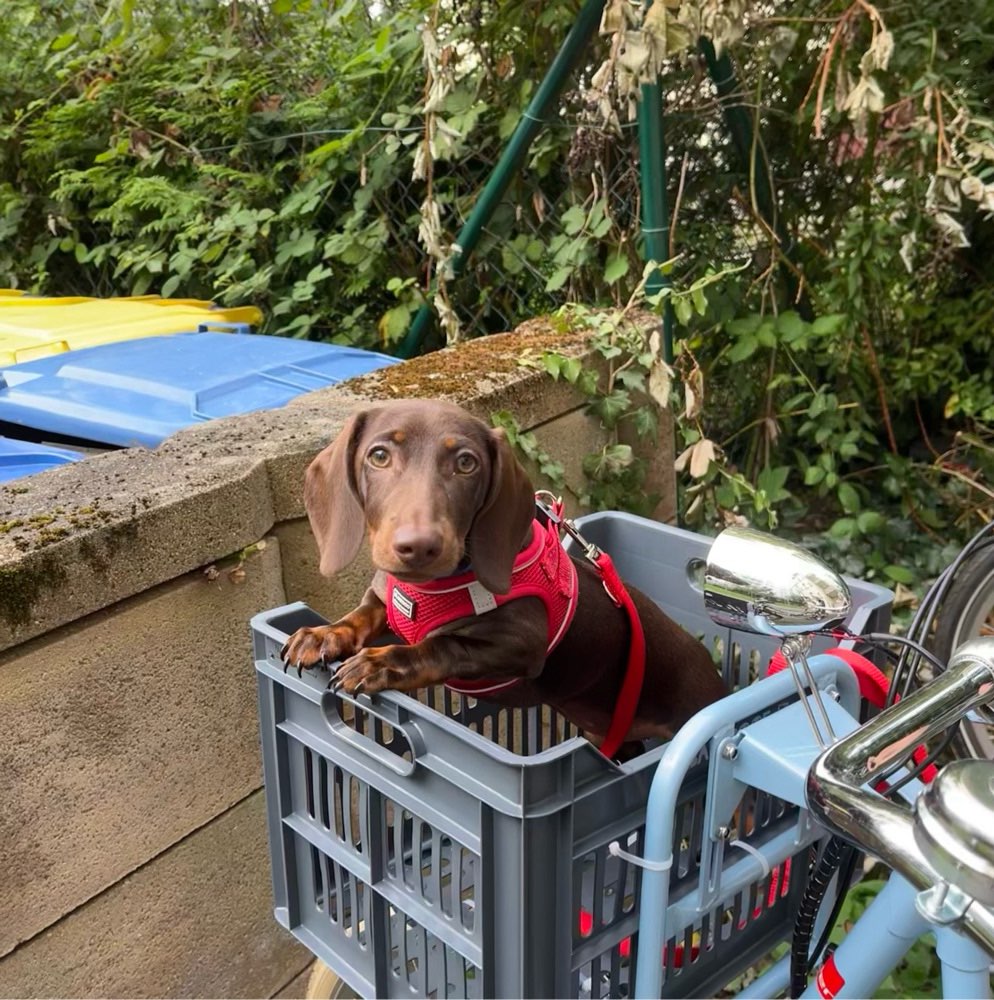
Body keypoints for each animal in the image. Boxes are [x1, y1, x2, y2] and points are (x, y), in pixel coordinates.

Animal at [282, 398, 724, 752]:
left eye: (466, 463)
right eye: (378, 456)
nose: (419, 548)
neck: (429, 588)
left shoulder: (521, 644)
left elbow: (442, 645)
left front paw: (382, 663)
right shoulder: (383, 600)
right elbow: (361, 616)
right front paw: (322, 635)